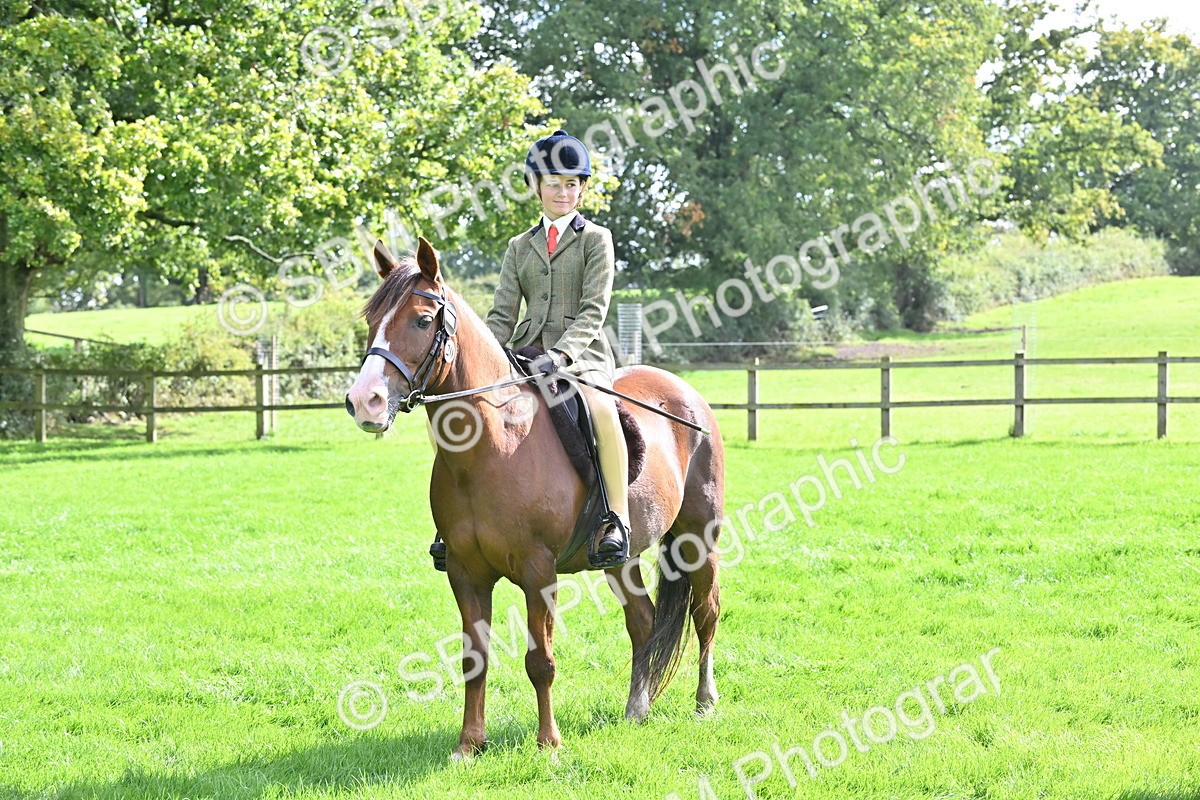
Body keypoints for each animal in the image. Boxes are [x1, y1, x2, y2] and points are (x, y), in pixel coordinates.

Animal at [345, 236, 725, 758]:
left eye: (422, 321)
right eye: (370, 320)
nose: (365, 402)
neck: (493, 444)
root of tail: (686, 393)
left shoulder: (538, 571)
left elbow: (540, 659)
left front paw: (549, 743)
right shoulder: (465, 572)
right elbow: (474, 658)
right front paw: (470, 744)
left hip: (697, 538)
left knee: (705, 614)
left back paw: (705, 702)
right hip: (621, 557)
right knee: (643, 621)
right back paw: (637, 707)